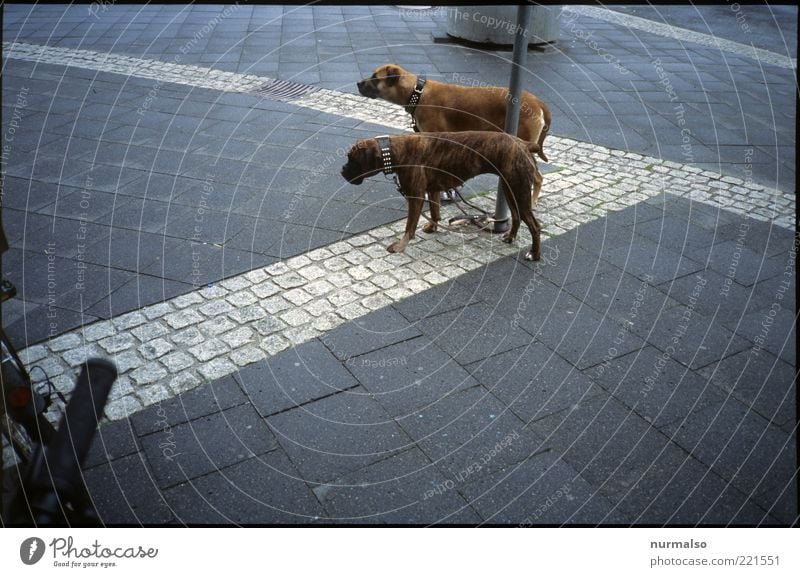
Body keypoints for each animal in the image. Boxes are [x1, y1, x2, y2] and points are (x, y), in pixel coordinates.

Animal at [340, 132, 540, 260]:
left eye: (352, 159)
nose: (342, 170)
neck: (395, 150)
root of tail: (524, 143)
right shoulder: (433, 190)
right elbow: (435, 211)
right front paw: (432, 226)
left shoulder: (415, 196)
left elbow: (409, 226)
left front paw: (400, 246)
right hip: (510, 189)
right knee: (516, 216)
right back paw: (510, 237)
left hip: (519, 191)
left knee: (534, 225)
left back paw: (534, 254)